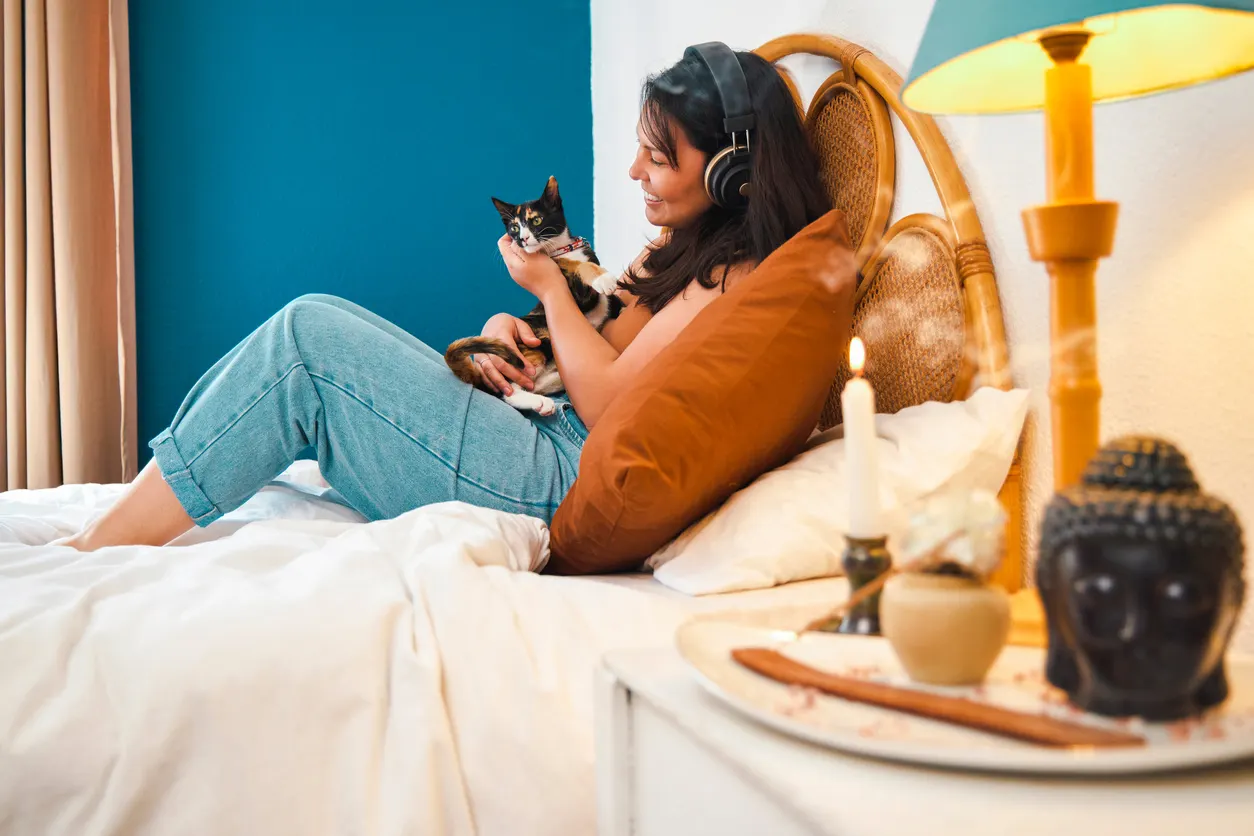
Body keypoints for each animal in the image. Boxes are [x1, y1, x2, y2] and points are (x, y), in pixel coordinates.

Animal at [446, 176, 621, 416]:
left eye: (536, 220)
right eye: (513, 227)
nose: (522, 238)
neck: (562, 249)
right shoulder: (579, 294)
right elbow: (577, 267)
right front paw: (602, 278)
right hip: (536, 342)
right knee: (509, 391)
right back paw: (538, 402)